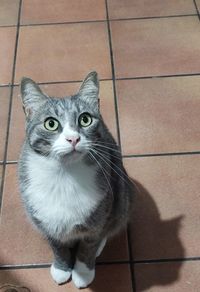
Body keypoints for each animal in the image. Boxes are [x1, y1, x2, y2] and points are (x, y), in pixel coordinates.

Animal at [18, 72, 135, 288]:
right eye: (51, 123)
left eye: (85, 119)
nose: (73, 139)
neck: (64, 176)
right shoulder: (44, 220)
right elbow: (57, 247)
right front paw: (62, 269)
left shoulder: (98, 216)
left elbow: (88, 246)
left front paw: (83, 272)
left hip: (123, 197)